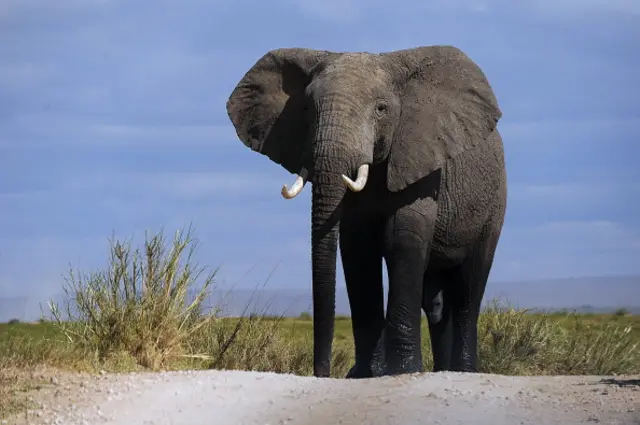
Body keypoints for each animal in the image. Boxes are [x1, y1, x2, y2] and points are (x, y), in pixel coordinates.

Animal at [228, 44, 508, 378]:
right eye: (306, 109)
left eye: (381, 109)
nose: (322, 372)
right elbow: (357, 250)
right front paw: (364, 375)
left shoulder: (421, 159)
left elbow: (402, 241)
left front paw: (403, 371)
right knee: (437, 303)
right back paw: (443, 372)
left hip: (495, 203)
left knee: (469, 287)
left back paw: (464, 372)